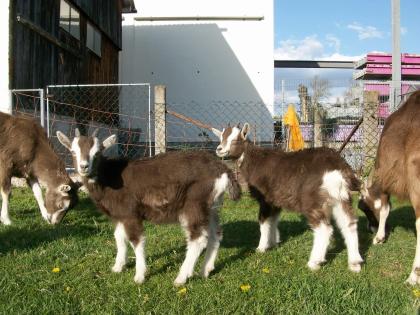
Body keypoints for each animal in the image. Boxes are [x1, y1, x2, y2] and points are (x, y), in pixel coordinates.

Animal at [56, 128, 241, 286]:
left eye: (97, 152)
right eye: (73, 151)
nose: (84, 166)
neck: (109, 177)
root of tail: (222, 169)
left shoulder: (130, 213)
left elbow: (136, 241)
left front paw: (139, 275)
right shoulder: (119, 215)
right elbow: (119, 238)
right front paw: (118, 267)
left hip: (194, 203)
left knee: (198, 238)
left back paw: (181, 277)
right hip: (211, 207)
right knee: (216, 234)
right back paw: (205, 270)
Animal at [212, 124, 362, 272]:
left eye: (235, 140)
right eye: (221, 137)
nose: (219, 149)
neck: (253, 160)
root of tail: (338, 167)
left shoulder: (265, 199)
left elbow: (263, 221)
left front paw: (261, 248)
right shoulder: (275, 200)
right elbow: (273, 220)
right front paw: (274, 242)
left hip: (313, 200)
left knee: (324, 229)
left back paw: (314, 263)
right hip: (341, 198)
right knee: (349, 224)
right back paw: (354, 263)